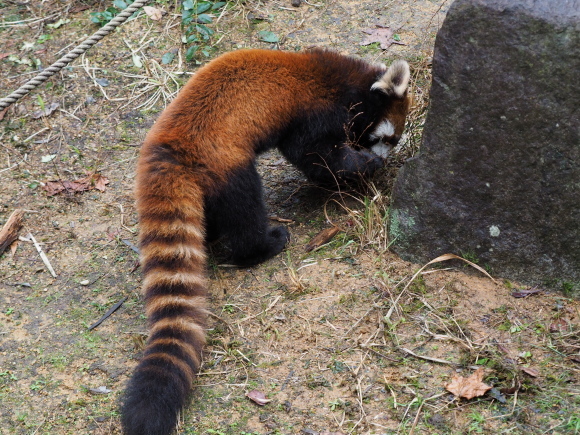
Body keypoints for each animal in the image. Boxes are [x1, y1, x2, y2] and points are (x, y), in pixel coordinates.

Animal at [122, 48, 412, 435]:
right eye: (388, 138)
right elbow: (313, 155)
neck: (343, 79)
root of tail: (165, 151)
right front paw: (360, 167)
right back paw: (266, 245)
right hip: (225, 163)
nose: (383, 157)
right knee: (245, 208)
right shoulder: (315, 111)